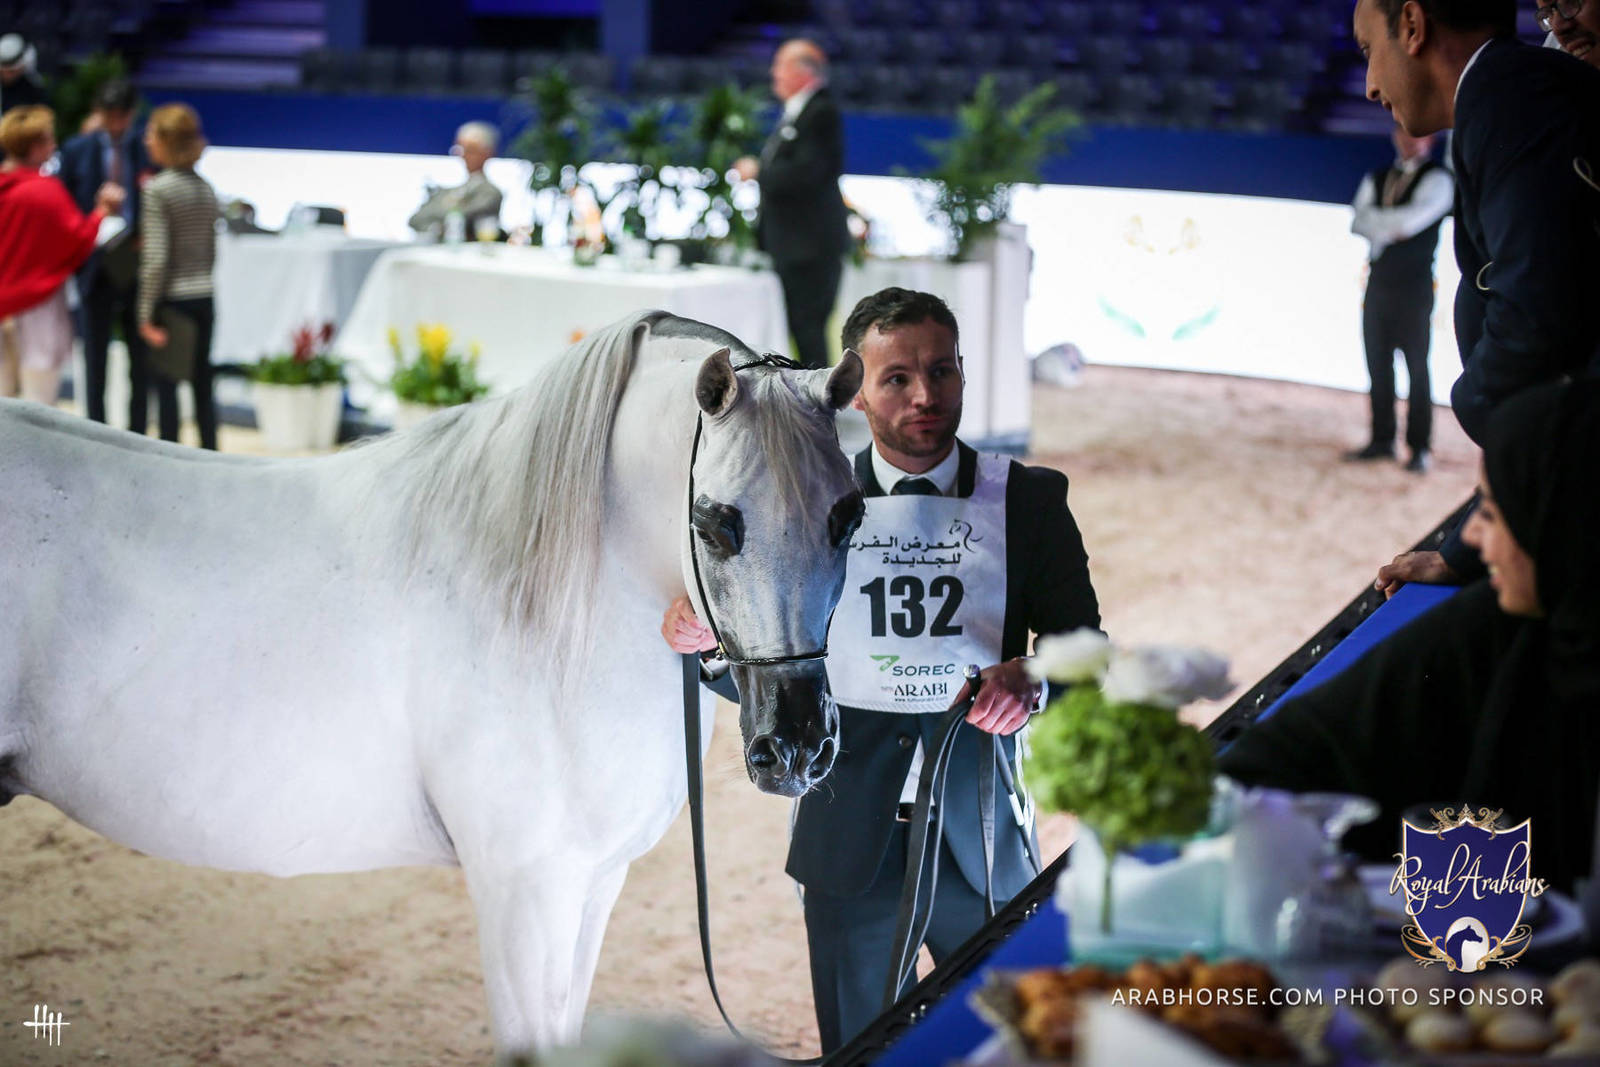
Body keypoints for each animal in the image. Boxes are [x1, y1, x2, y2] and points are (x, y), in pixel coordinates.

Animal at [0, 310, 865, 1056]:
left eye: (848, 518)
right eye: (714, 524)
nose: (797, 746)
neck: (551, 607)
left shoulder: (592, 883)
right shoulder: (522, 891)